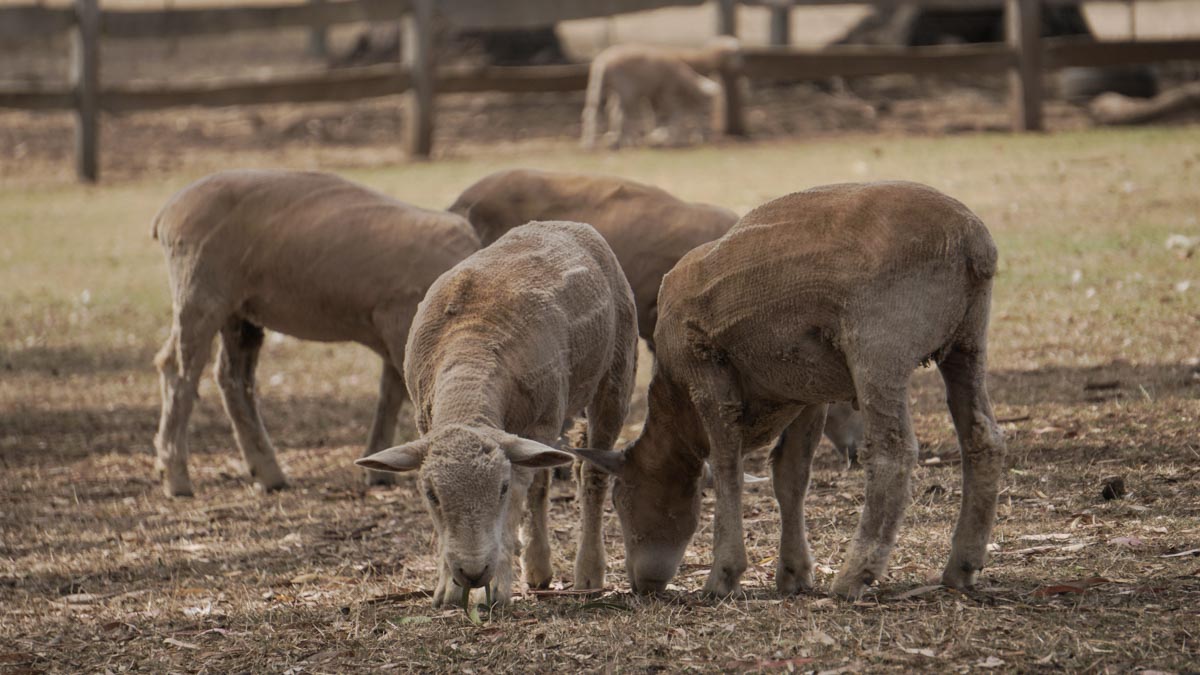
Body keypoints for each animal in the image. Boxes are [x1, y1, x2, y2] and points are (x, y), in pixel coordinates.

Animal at [152, 168, 480, 494]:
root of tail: (168, 210)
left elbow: (390, 393)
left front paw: (378, 471)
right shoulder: (399, 322)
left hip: (240, 311)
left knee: (233, 379)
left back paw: (268, 473)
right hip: (200, 290)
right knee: (179, 371)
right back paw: (177, 477)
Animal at [352, 219, 638, 605]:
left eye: (499, 489)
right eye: (431, 494)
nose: (472, 573)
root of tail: (566, 223)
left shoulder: (536, 426)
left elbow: (516, 500)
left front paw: (497, 587)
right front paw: (448, 589)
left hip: (615, 373)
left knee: (590, 473)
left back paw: (588, 572)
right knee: (544, 481)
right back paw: (538, 569)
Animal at [576, 181, 1008, 595]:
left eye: (620, 499)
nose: (641, 585)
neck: (677, 407)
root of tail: (972, 241)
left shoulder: (705, 374)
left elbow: (728, 467)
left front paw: (724, 574)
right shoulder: (806, 393)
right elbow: (790, 476)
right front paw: (793, 573)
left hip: (879, 348)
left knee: (893, 453)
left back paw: (855, 575)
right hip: (968, 342)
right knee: (983, 439)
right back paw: (961, 566)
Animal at [580, 36, 739, 148]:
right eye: (735, 54)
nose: (740, 65)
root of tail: (602, 61)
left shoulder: (654, 94)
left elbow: (654, 115)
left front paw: (656, 136)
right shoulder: (666, 93)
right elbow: (677, 114)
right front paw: (672, 137)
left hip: (600, 86)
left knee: (593, 110)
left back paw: (592, 142)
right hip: (626, 89)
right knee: (619, 113)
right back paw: (626, 140)